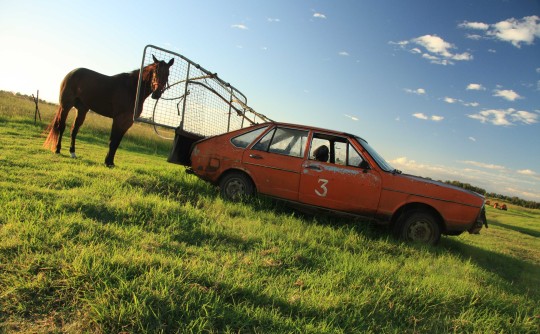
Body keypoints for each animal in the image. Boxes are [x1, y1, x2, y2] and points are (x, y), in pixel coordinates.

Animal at [45, 55, 175, 168]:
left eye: (167, 74)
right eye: (155, 72)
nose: (156, 93)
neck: (132, 89)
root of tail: (72, 73)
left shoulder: (127, 122)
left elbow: (117, 142)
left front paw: (110, 162)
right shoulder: (119, 119)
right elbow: (112, 141)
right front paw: (108, 162)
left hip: (82, 110)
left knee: (74, 130)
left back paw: (72, 153)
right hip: (66, 106)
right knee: (61, 126)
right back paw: (57, 149)